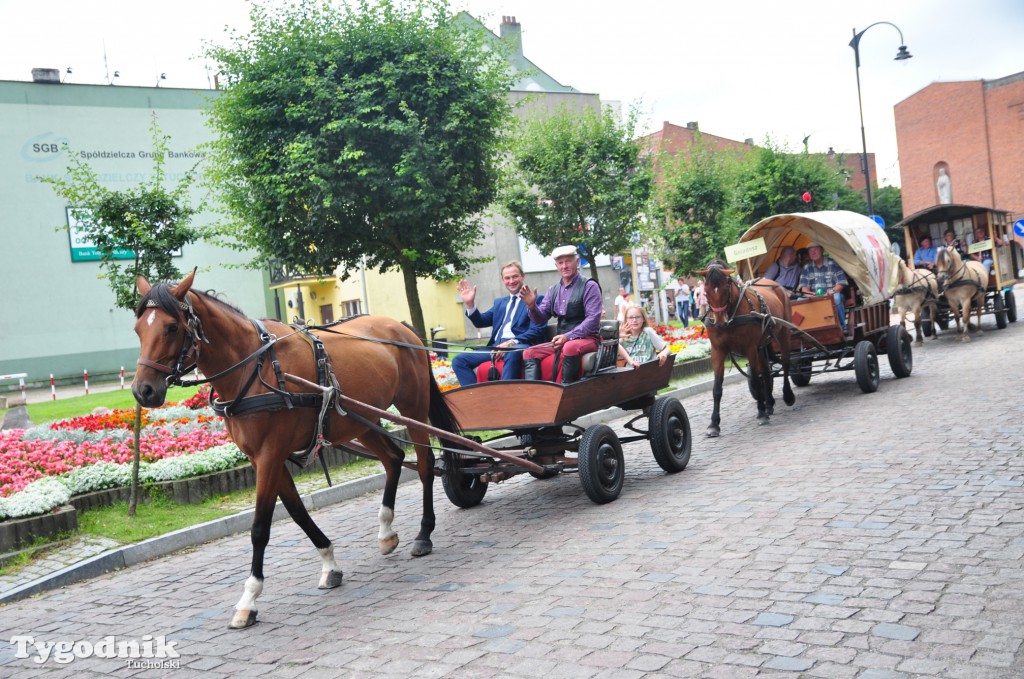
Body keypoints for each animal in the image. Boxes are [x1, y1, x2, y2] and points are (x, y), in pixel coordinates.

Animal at [131, 268, 460, 630]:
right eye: (138, 328)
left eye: (172, 327)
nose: (143, 391)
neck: (254, 368)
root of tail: (402, 328)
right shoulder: (262, 459)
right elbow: (298, 513)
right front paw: (330, 563)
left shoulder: (270, 454)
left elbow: (260, 527)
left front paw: (248, 599)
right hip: (358, 419)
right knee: (394, 458)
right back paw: (386, 530)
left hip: (412, 407)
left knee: (426, 464)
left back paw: (424, 533)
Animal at [700, 258, 794, 438]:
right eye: (706, 291)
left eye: (726, 287)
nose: (720, 321)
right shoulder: (718, 351)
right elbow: (717, 388)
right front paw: (714, 424)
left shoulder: (751, 348)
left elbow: (756, 381)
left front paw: (761, 413)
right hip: (762, 345)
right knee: (766, 372)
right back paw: (769, 404)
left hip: (784, 334)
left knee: (786, 363)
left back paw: (787, 395)